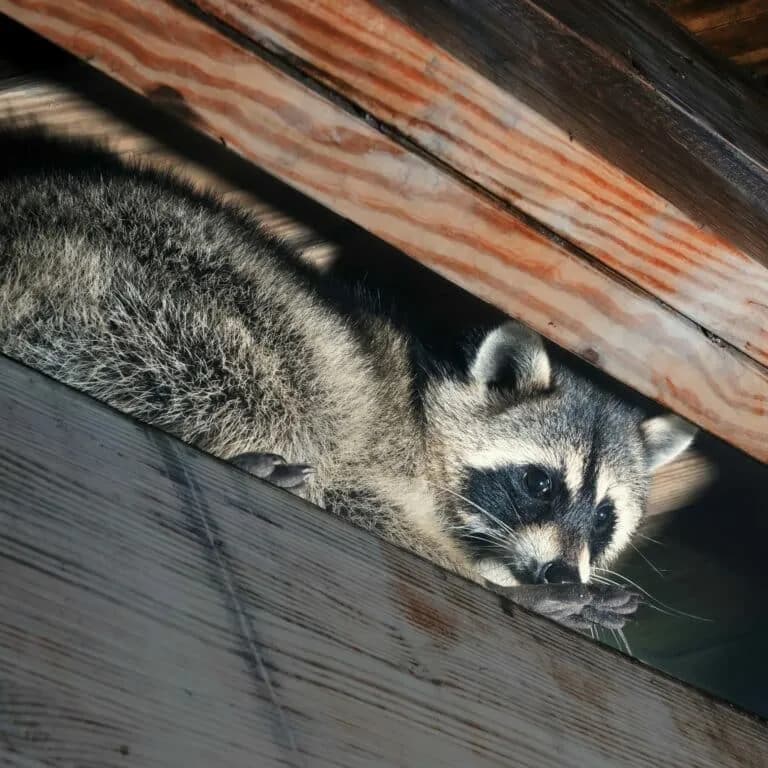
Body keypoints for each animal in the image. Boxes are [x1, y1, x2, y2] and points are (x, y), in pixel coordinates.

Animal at [0, 129, 695, 631]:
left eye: (604, 516)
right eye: (539, 482)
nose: (559, 575)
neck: (426, 410)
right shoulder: (379, 447)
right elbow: (354, 494)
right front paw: (491, 581)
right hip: (134, 290)